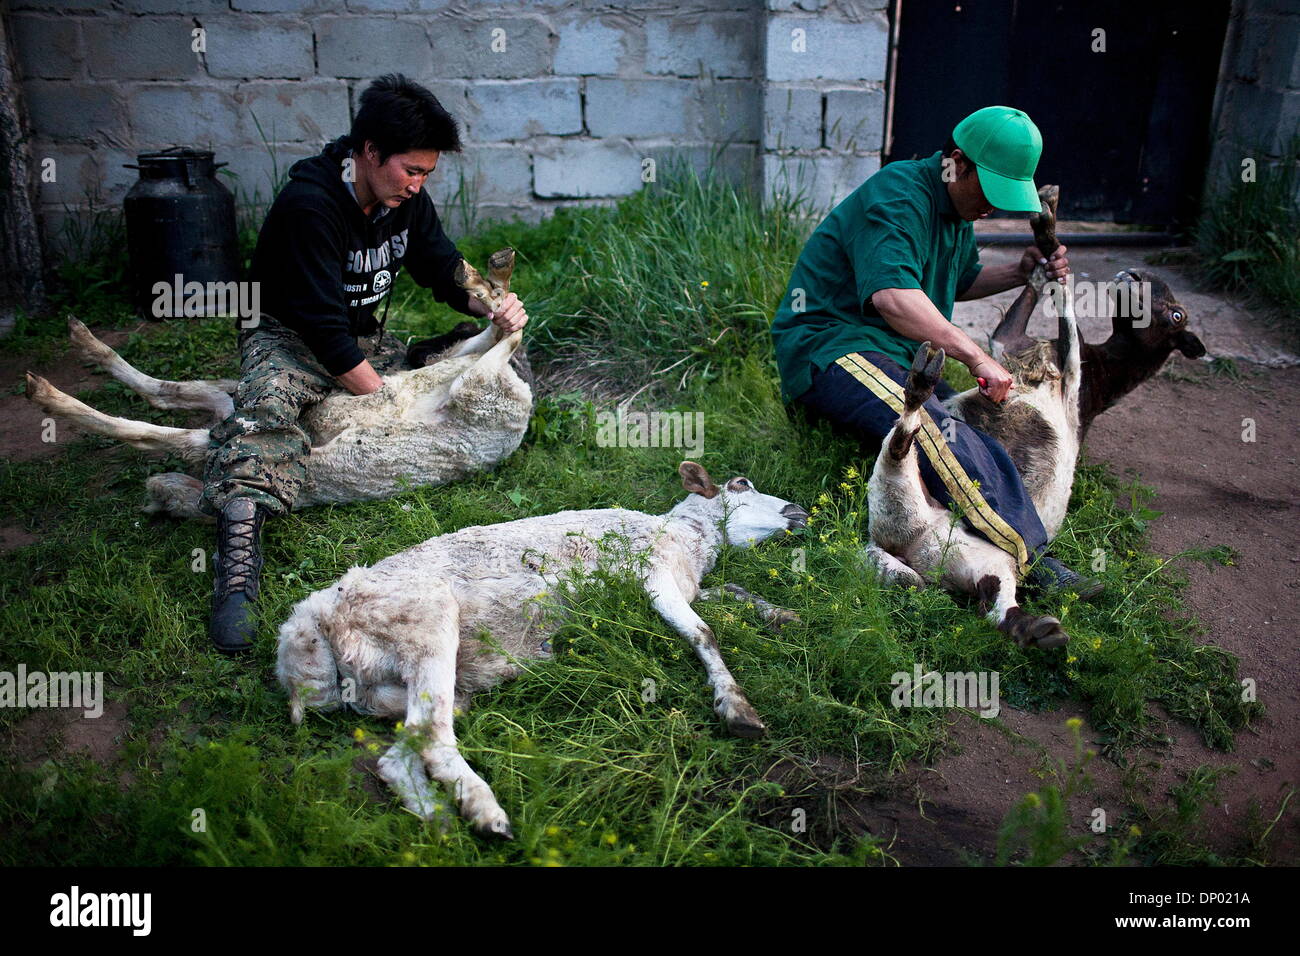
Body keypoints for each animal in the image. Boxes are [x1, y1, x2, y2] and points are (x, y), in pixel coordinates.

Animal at [275, 463, 806, 837]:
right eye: (741, 483)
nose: (799, 511)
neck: (689, 542)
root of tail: (308, 626)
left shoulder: (690, 585)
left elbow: (735, 591)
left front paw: (782, 615)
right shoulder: (653, 576)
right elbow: (702, 632)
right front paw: (738, 710)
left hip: (395, 685)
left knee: (399, 754)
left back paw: (443, 822)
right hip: (427, 624)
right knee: (432, 735)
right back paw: (487, 813)